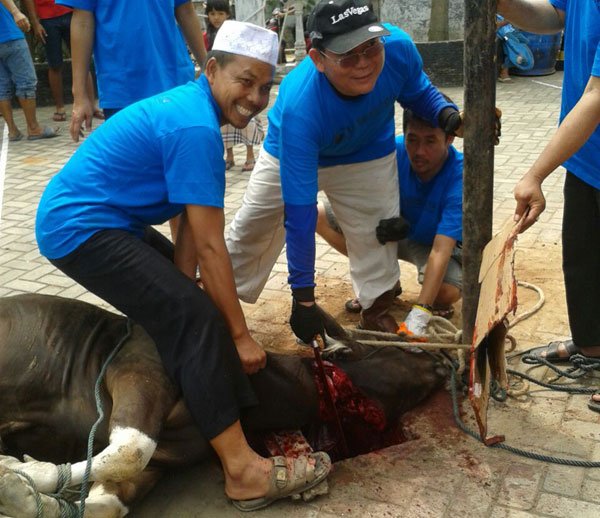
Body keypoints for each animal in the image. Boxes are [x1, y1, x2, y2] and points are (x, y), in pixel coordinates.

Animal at [0, 294, 446, 516]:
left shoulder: (165, 459)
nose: (443, 361)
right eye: (403, 352)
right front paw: (21, 473)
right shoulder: (138, 372)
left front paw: (25, 494)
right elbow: (130, 450)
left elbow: (110, 498)